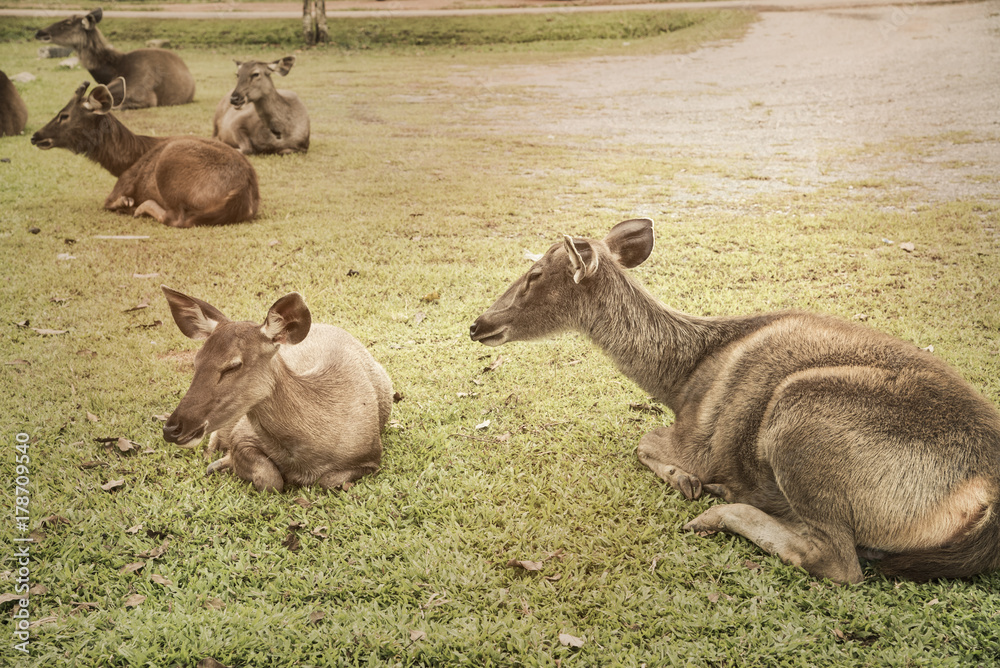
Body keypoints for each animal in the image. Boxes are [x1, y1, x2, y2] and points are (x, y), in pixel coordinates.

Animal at [31, 79, 259, 228]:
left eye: (64, 115)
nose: (35, 136)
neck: (124, 162)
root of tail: (241, 192)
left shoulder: (123, 183)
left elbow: (108, 202)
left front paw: (126, 203)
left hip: (170, 162)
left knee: (177, 219)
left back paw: (139, 208)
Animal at [161, 286, 395, 493]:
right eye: (196, 361)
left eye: (233, 366)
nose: (171, 428)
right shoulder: (242, 433)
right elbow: (270, 480)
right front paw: (225, 463)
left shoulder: (370, 455)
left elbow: (328, 481)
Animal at [470, 218, 1000, 584]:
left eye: (535, 274)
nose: (477, 324)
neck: (679, 380)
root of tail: (984, 490)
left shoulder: (696, 440)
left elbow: (645, 440)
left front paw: (684, 480)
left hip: (800, 416)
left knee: (838, 562)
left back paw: (717, 509)